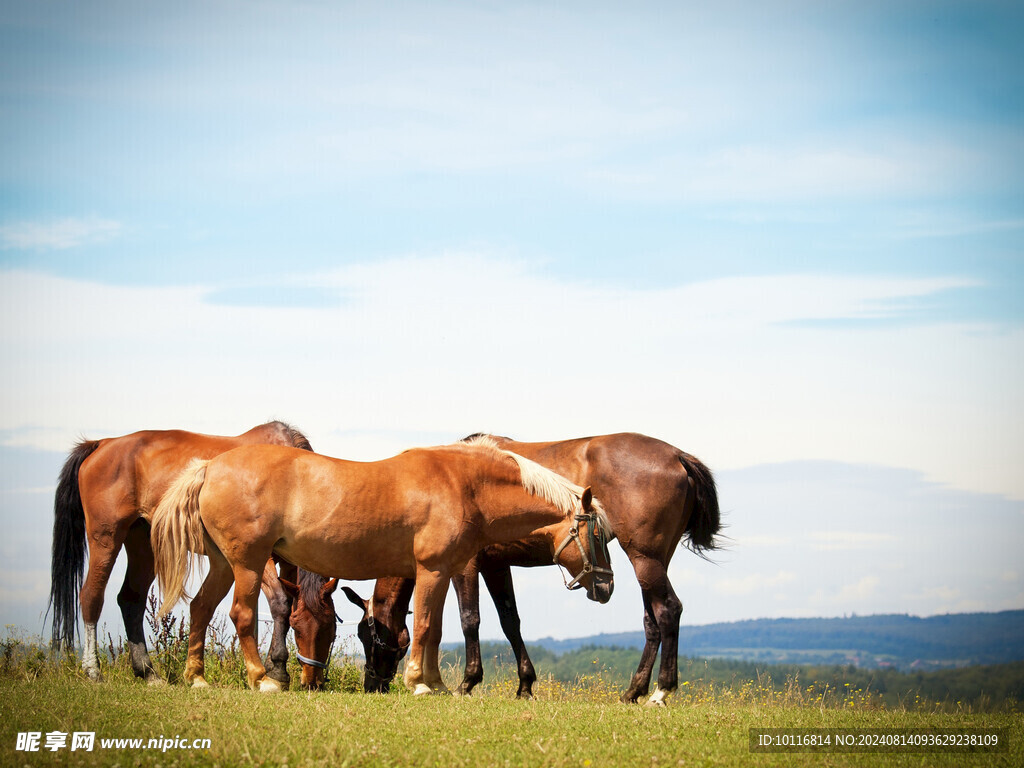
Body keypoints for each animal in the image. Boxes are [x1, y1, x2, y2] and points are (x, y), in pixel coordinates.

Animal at [48, 421, 311, 684]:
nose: (311, 679)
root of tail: (102, 443)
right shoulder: (256, 556)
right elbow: (280, 603)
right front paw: (277, 668)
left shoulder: (288, 562)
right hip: (106, 537)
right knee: (91, 596)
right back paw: (93, 670)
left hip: (143, 544)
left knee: (131, 599)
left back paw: (148, 672)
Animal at [148, 436, 610, 696]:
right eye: (600, 535)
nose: (606, 587)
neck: (463, 484)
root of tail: (210, 467)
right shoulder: (433, 570)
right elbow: (425, 625)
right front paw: (418, 682)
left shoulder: (441, 572)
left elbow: (434, 629)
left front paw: (437, 683)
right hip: (247, 563)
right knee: (241, 614)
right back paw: (262, 679)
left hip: (224, 564)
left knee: (200, 608)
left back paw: (197, 677)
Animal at [290, 430, 720, 708]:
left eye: (370, 636)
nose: (372, 685)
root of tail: (678, 456)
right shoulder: (497, 565)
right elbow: (510, 621)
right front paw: (525, 685)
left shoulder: (466, 565)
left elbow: (470, 620)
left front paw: (467, 682)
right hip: (653, 560)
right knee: (652, 621)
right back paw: (634, 691)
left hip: (645, 558)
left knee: (668, 611)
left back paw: (661, 691)